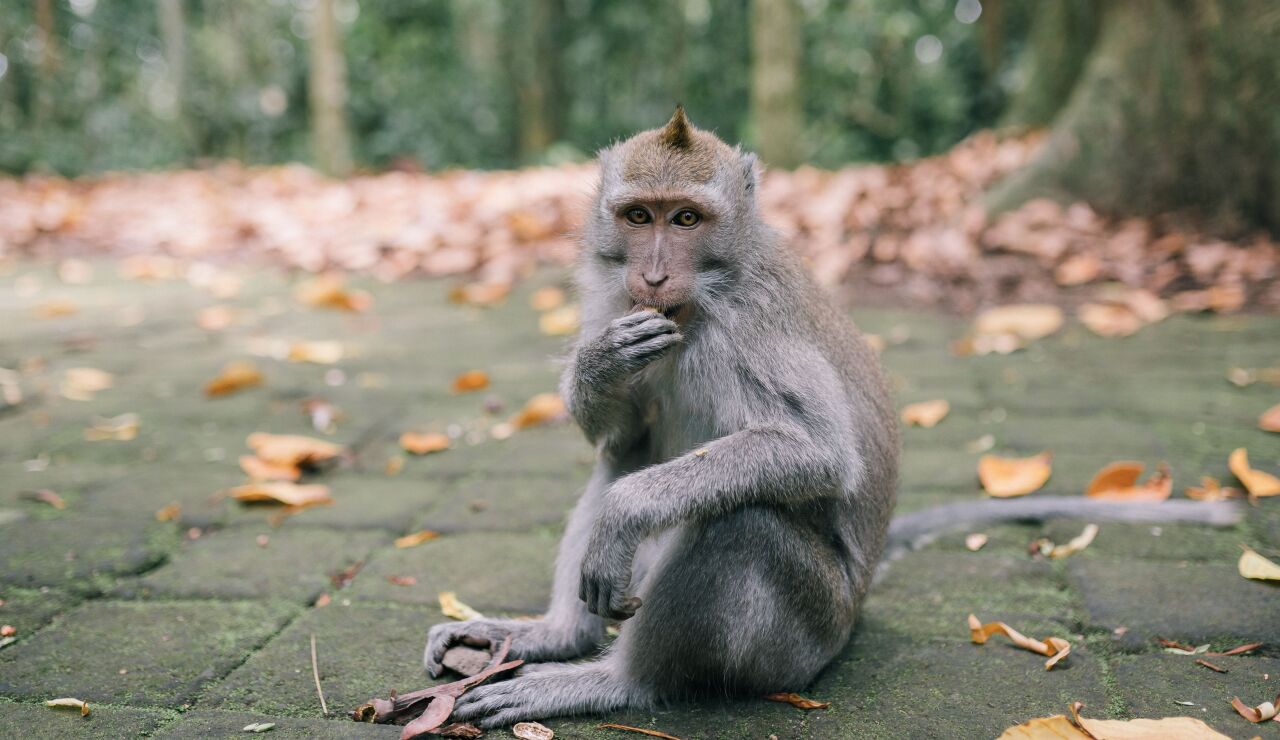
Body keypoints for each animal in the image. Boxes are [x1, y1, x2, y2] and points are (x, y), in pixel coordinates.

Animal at [423, 108, 1244, 729]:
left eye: (686, 219)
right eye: (637, 216)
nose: (652, 274)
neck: (703, 300)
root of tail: (860, 602)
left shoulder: (752, 330)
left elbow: (816, 452)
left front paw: (627, 512)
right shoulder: (618, 305)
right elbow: (624, 438)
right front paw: (599, 367)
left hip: (803, 637)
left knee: (744, 521)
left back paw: (618, 680)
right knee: (629, 464)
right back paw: (557, 636)